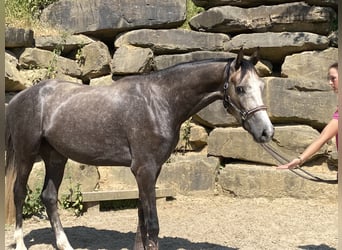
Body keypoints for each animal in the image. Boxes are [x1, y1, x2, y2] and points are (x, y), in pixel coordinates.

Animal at [5, 48, 274, 250]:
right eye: (240, 88)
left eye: (261, 86)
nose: (266, 132)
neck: (159, 101)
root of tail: (21, 97)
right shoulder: (144, 170)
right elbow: (152, 223)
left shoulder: (152, 171)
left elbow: (141, 218)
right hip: (26, 155)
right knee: (19, 193)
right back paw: (20, 244)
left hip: (56, 158)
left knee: (49, 197)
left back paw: (65, 245)